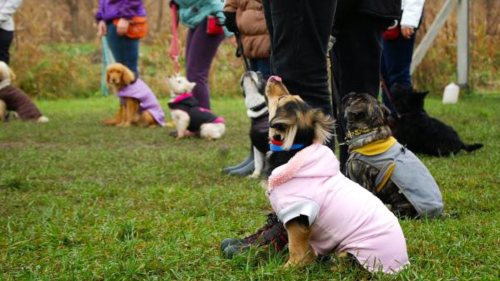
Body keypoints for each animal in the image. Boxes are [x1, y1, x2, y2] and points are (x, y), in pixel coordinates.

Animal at [264, 75, 408, 272]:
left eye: (280, 99)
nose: (275, 78)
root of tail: (402, 263)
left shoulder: (297, 215)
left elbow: (296, 248)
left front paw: (287, 268)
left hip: (353, 250)